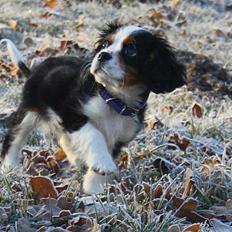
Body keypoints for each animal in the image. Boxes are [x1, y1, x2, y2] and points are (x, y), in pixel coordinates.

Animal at [0, 23, 185, 194]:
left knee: (64, 139)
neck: (114, 99)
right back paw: (10, 167)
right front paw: (102, 163)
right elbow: (94, 134)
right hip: (29, 111)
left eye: (131, 50)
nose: (102, 55)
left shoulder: (119, 137)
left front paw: (94, 188)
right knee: (14, 137)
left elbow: (106, 152)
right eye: (105, 44)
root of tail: (34, 71)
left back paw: (77, 158)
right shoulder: (73, 114)